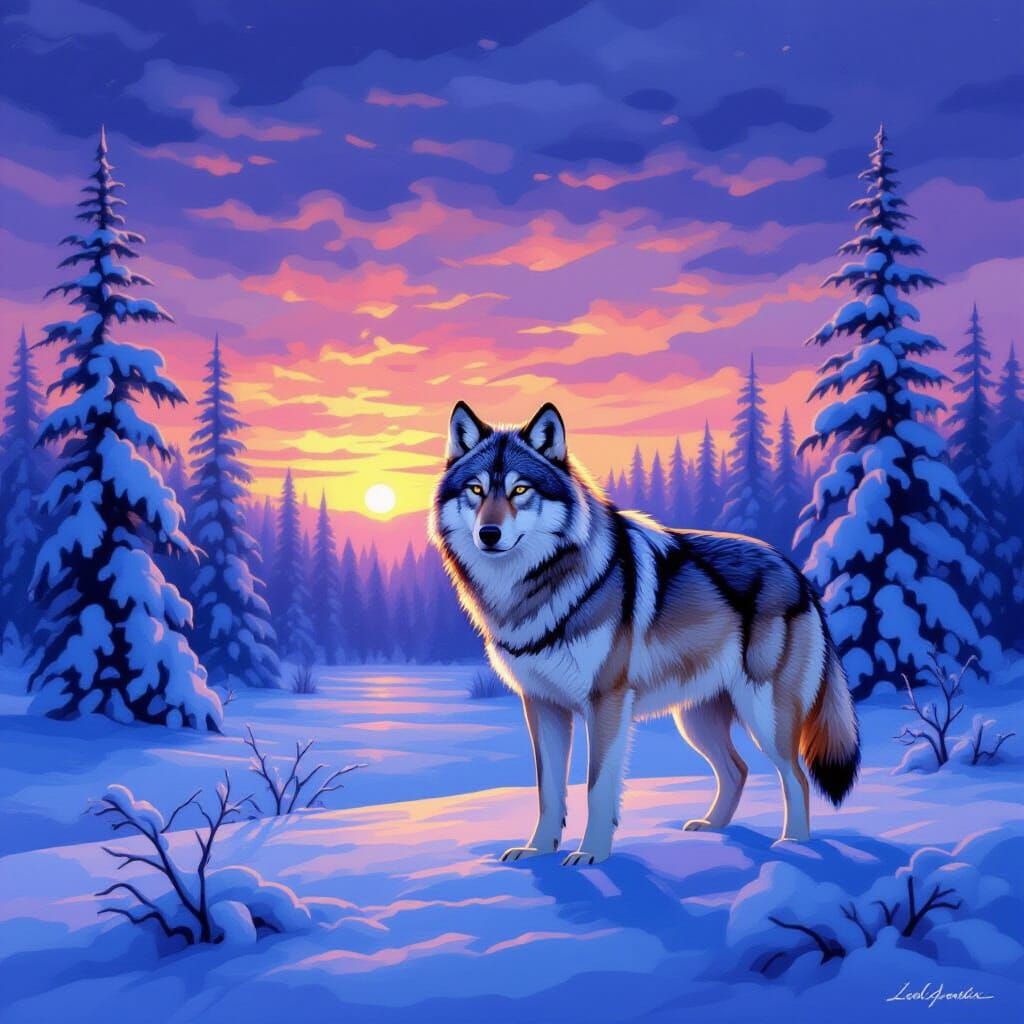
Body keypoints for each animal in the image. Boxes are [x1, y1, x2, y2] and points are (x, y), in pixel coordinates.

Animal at [429, 402, 860, 865]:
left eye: (520, 490)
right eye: (476, 490)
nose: (488, 534)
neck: (536, 586)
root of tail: (798, 572)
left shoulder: (606, 703)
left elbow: (598, 787)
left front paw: (591, 854)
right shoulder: (542, 705)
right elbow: (549, 792)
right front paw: (537, 850)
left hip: (764, 715)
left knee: (796, 776)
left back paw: (794, 845)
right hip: (696, 719)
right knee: (738, 770)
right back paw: (712, 829)